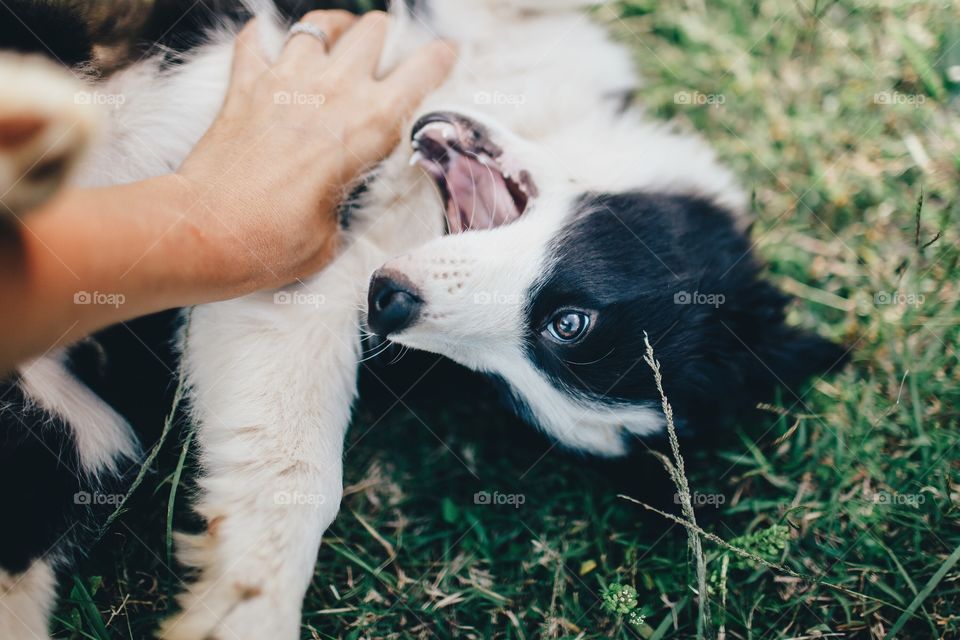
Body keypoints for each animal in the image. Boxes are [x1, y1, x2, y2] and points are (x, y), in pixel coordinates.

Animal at [0, 0, 844, 636]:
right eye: (570, 324)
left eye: (502, 387)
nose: (390, 305)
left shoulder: (287, 275)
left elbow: (293, 468)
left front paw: (244, 607)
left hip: (81, 430)